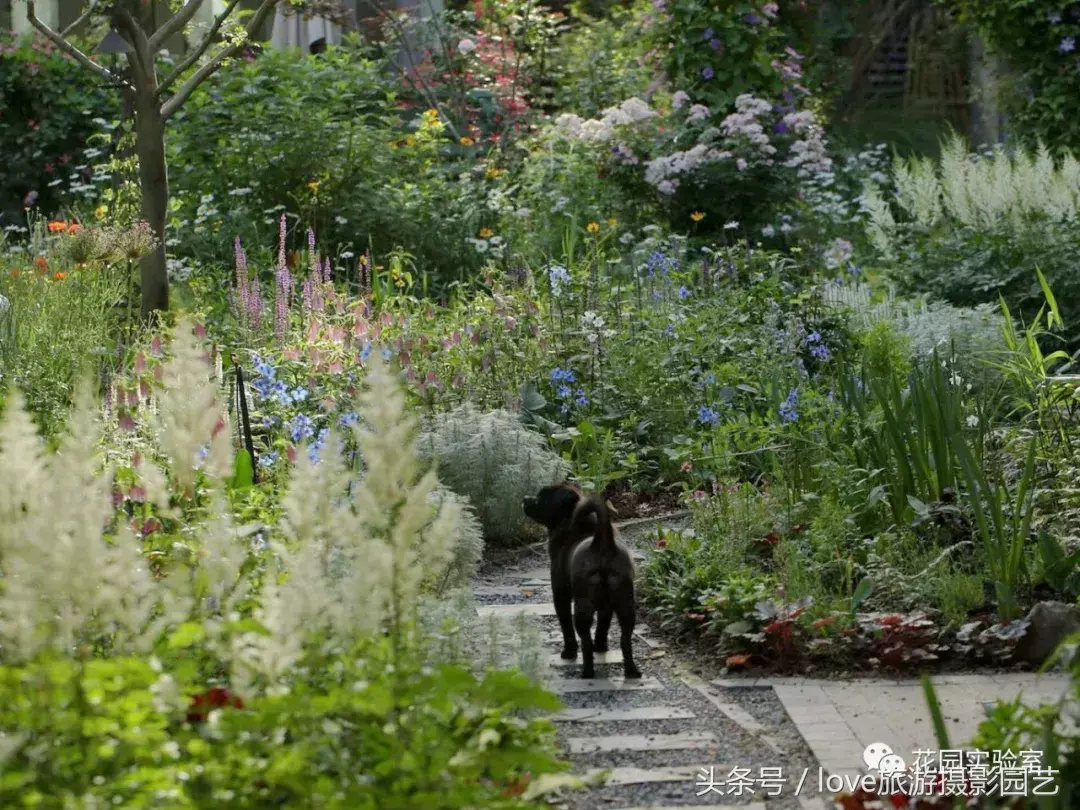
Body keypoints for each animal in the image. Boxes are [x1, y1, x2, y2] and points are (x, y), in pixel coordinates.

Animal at [522, 486, 639, 682]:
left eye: (542, 498)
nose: (525, 498)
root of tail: (601, 544)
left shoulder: (560, 595)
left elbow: (566, 626)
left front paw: (569, 652)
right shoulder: (606, 607)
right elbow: (603, 625)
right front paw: (601, 647)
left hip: (583, 607)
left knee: (584, 640)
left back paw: (587, 671)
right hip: (626, 605)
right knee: (625, 639)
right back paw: (631, 671)